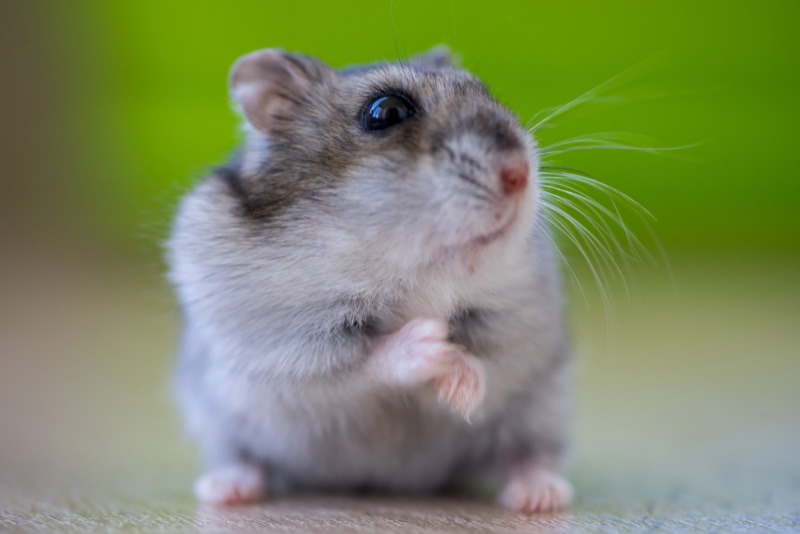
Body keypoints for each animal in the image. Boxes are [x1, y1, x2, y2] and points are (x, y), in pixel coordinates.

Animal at [166, 47, 572, 516]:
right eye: (386, 112)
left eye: (487, 92)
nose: (520, 174)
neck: (407, 270)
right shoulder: (288, 347)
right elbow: (363, 358)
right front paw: (434, 347)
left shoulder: (514, 322)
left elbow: (489, 360)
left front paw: (462, 390)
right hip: (219, 420)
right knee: (243, 457)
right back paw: (226, 490)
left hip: (544, 406)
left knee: (526, 453)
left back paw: (541, 497)